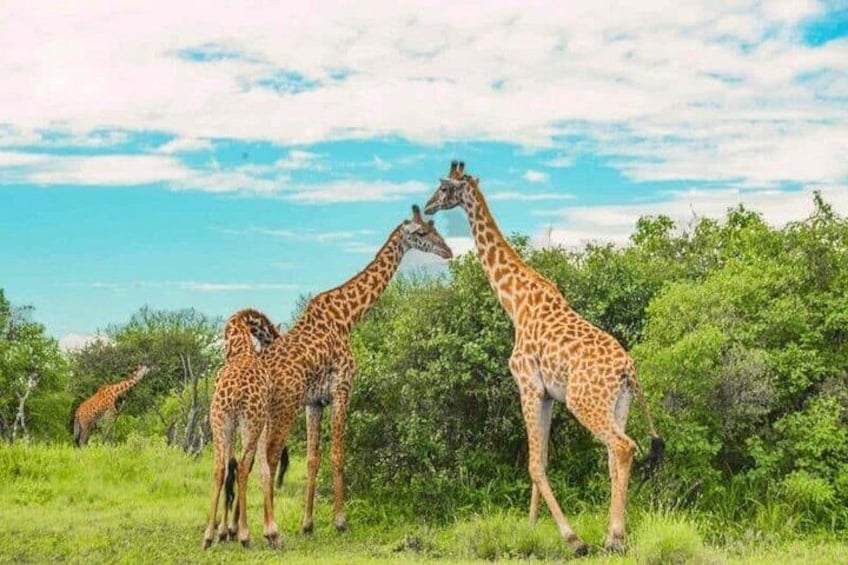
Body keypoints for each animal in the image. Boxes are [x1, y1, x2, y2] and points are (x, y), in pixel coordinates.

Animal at [203, 308, 281, 549]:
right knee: (244, 466)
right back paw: (245, 535)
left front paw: (223, 531)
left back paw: (208, 536)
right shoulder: (263, 421)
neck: (241, 347)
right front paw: (272, 532)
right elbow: (264, 469)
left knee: (220, 468)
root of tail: (236, 392)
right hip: (250, 423)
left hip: (219, 422)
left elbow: (231, 468)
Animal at [242, 205, 453, 549]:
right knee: (268, 460)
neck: (347, 317)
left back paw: (242, 531)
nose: (448, 251)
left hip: (260, 416)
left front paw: (308, 524)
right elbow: (338, 454)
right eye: (422, 233)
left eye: (435, 227)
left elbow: (313, 459)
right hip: (281, 410)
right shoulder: (342, 389)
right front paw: (340, 522)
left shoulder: (314, 402)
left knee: (247, 461)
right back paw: (270, 531)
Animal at [424, 161, 664, 555]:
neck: (515, 302)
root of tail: (629, 369)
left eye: (444, 188)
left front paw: (572, 538)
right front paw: (532, 527)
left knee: (623, 447)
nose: (428, 206)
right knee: (614, 456)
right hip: (619, 403)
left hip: (584, 401)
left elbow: (534, 464)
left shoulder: (527, 384)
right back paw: (617, 534)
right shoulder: (548, 394)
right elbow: (545, 461)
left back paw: (613, 538)